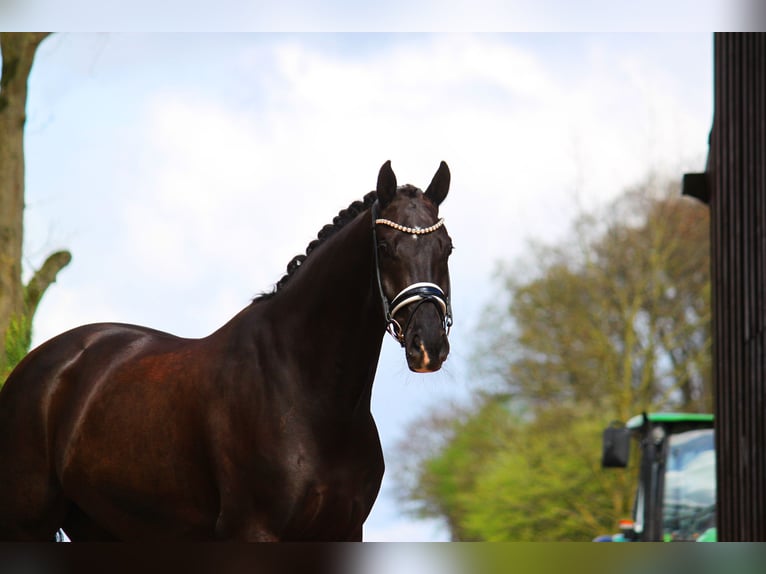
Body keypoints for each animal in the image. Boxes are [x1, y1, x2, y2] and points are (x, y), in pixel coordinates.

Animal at [0, 161, 452, 544]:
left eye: (446, 247)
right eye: (386, 245)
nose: (428, 345)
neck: (310, 395)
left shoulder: (344, 532)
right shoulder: (253, 531)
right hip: (27, 525)